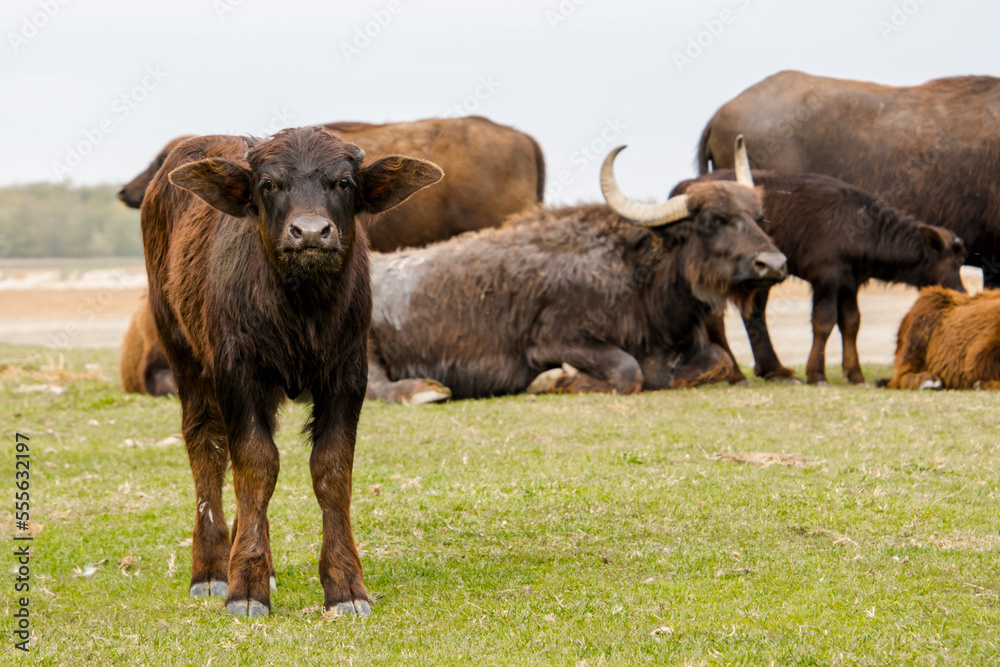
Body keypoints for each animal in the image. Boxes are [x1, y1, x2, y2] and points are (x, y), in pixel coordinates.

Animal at [141, 128, 442, 620]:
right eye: (268, 184)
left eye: (343, 182)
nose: (311, 232)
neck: (301, 307)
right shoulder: (237, 375)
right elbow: (256, 464)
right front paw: (245, 587)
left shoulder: (348, 377)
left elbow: (331, 469)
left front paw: (345, 586)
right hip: (182, 353)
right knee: (206, 446)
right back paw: (212, 569)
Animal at [364, 142, 784, 402]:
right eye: (714, 220)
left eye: (758, 216)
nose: (774, 264)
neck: (635, 277)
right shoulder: (553, 340)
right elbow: (628, 370)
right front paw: (552, 380)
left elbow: (719, 359)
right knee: (375, 385)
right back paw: (423, 390)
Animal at [672, 158, 968, 386]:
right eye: (954, 262)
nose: (962, 292)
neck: (861, 226)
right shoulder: (826, 278)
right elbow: (824, 322)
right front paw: (817, 374)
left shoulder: (850, 283)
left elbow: (851, 322)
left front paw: (855, 374)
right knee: (716, 318)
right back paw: (736, 374)